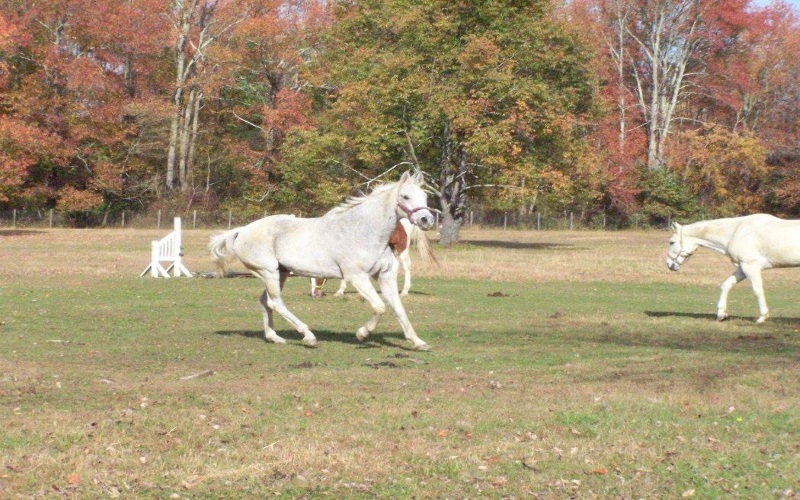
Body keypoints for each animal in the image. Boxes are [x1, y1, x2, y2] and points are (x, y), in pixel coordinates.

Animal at [209, 171, 436, 349]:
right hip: (268, 272)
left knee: (266, 302)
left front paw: (417, 342)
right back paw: (308, 336)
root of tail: (242, 230)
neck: (364, 231)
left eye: (425, 196)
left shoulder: (385, 275)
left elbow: (398, 308)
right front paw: (362, 334)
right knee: (275, 302)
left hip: (280, 273)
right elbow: (380, 307)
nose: (427, 220)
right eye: (405, 196)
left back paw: (275, 337)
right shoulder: (357, 277)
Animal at [666, 214, 800, 323]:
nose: (668, 264)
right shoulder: (742, 268)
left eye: (671, 242)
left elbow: (757, 290)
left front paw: (762, 317)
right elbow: (726, 285)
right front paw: (721, 314)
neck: (737, 231)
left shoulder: (750, 266)